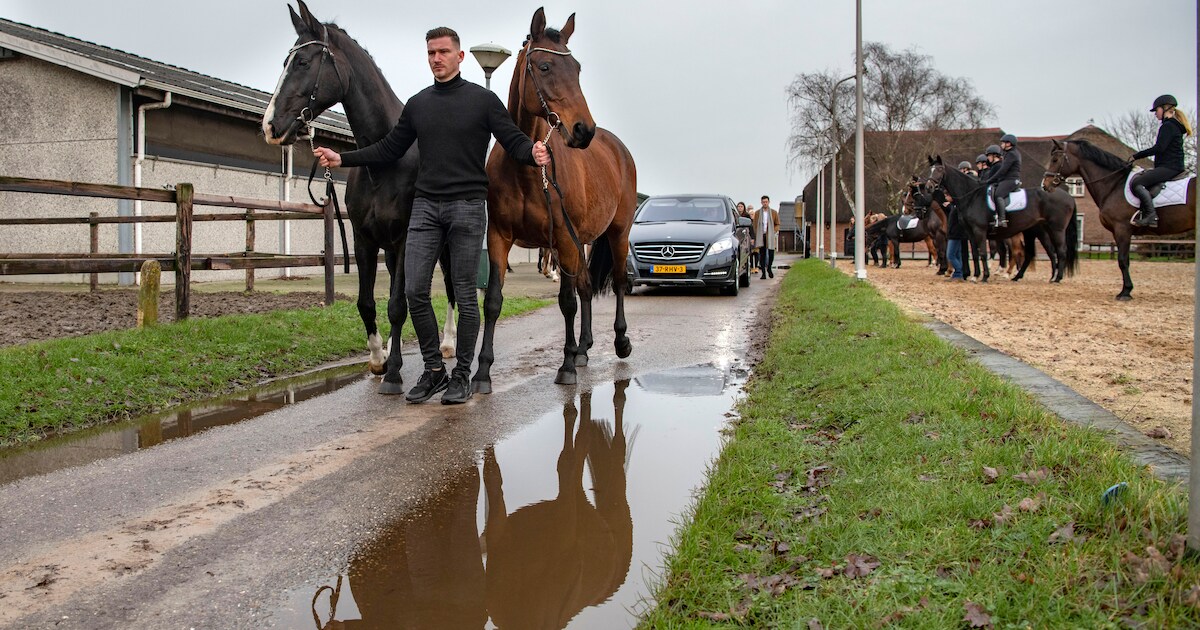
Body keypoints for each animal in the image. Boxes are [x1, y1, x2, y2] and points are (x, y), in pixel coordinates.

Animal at [261, 0, 456, 394]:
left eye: (302, 62)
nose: (270, 126)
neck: (383, 160)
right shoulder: (364, 239)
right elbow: (368, 303)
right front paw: (379, 360)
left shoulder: (403, 239)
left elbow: (397, 305)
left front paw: (394, 373)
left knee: (451, 287)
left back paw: (448, 343)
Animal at [473, 8, 638, 390]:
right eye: (545, 66)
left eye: (576, 68)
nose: (584, 130)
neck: (528, 166)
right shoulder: (500, 237)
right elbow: (493, 301)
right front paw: (482, 372)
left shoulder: (561, 238)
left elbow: (566, 302)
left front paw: (564, 366)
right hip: (582, 242)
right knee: (587, 288)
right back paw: (583, 348)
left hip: (616, 233)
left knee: (619, 282)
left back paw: (619, 341)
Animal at [925, 156, 1078, 283]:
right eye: (930, 169)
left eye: (939, 169)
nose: (929, 186)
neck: (971, 196)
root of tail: (1069, 197)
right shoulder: (970, 232)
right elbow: (974, 253)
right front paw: (975, 275)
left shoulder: (979, 231)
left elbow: (982, 253)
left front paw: (984, 276)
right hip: (1037, 231)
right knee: (1040, 252)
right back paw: (1025, 277)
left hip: (1056, 229)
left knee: (1060, 251)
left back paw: (1057, 278)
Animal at [1045, 139, 1195, 300]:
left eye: (1055, 159)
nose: (1045, 184)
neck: (1114, 184)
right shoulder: (1119, 232)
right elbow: (1125, 259)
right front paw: (1126, 289)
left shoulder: (1122, 229)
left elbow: (1122, 261)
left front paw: (1125, 292)